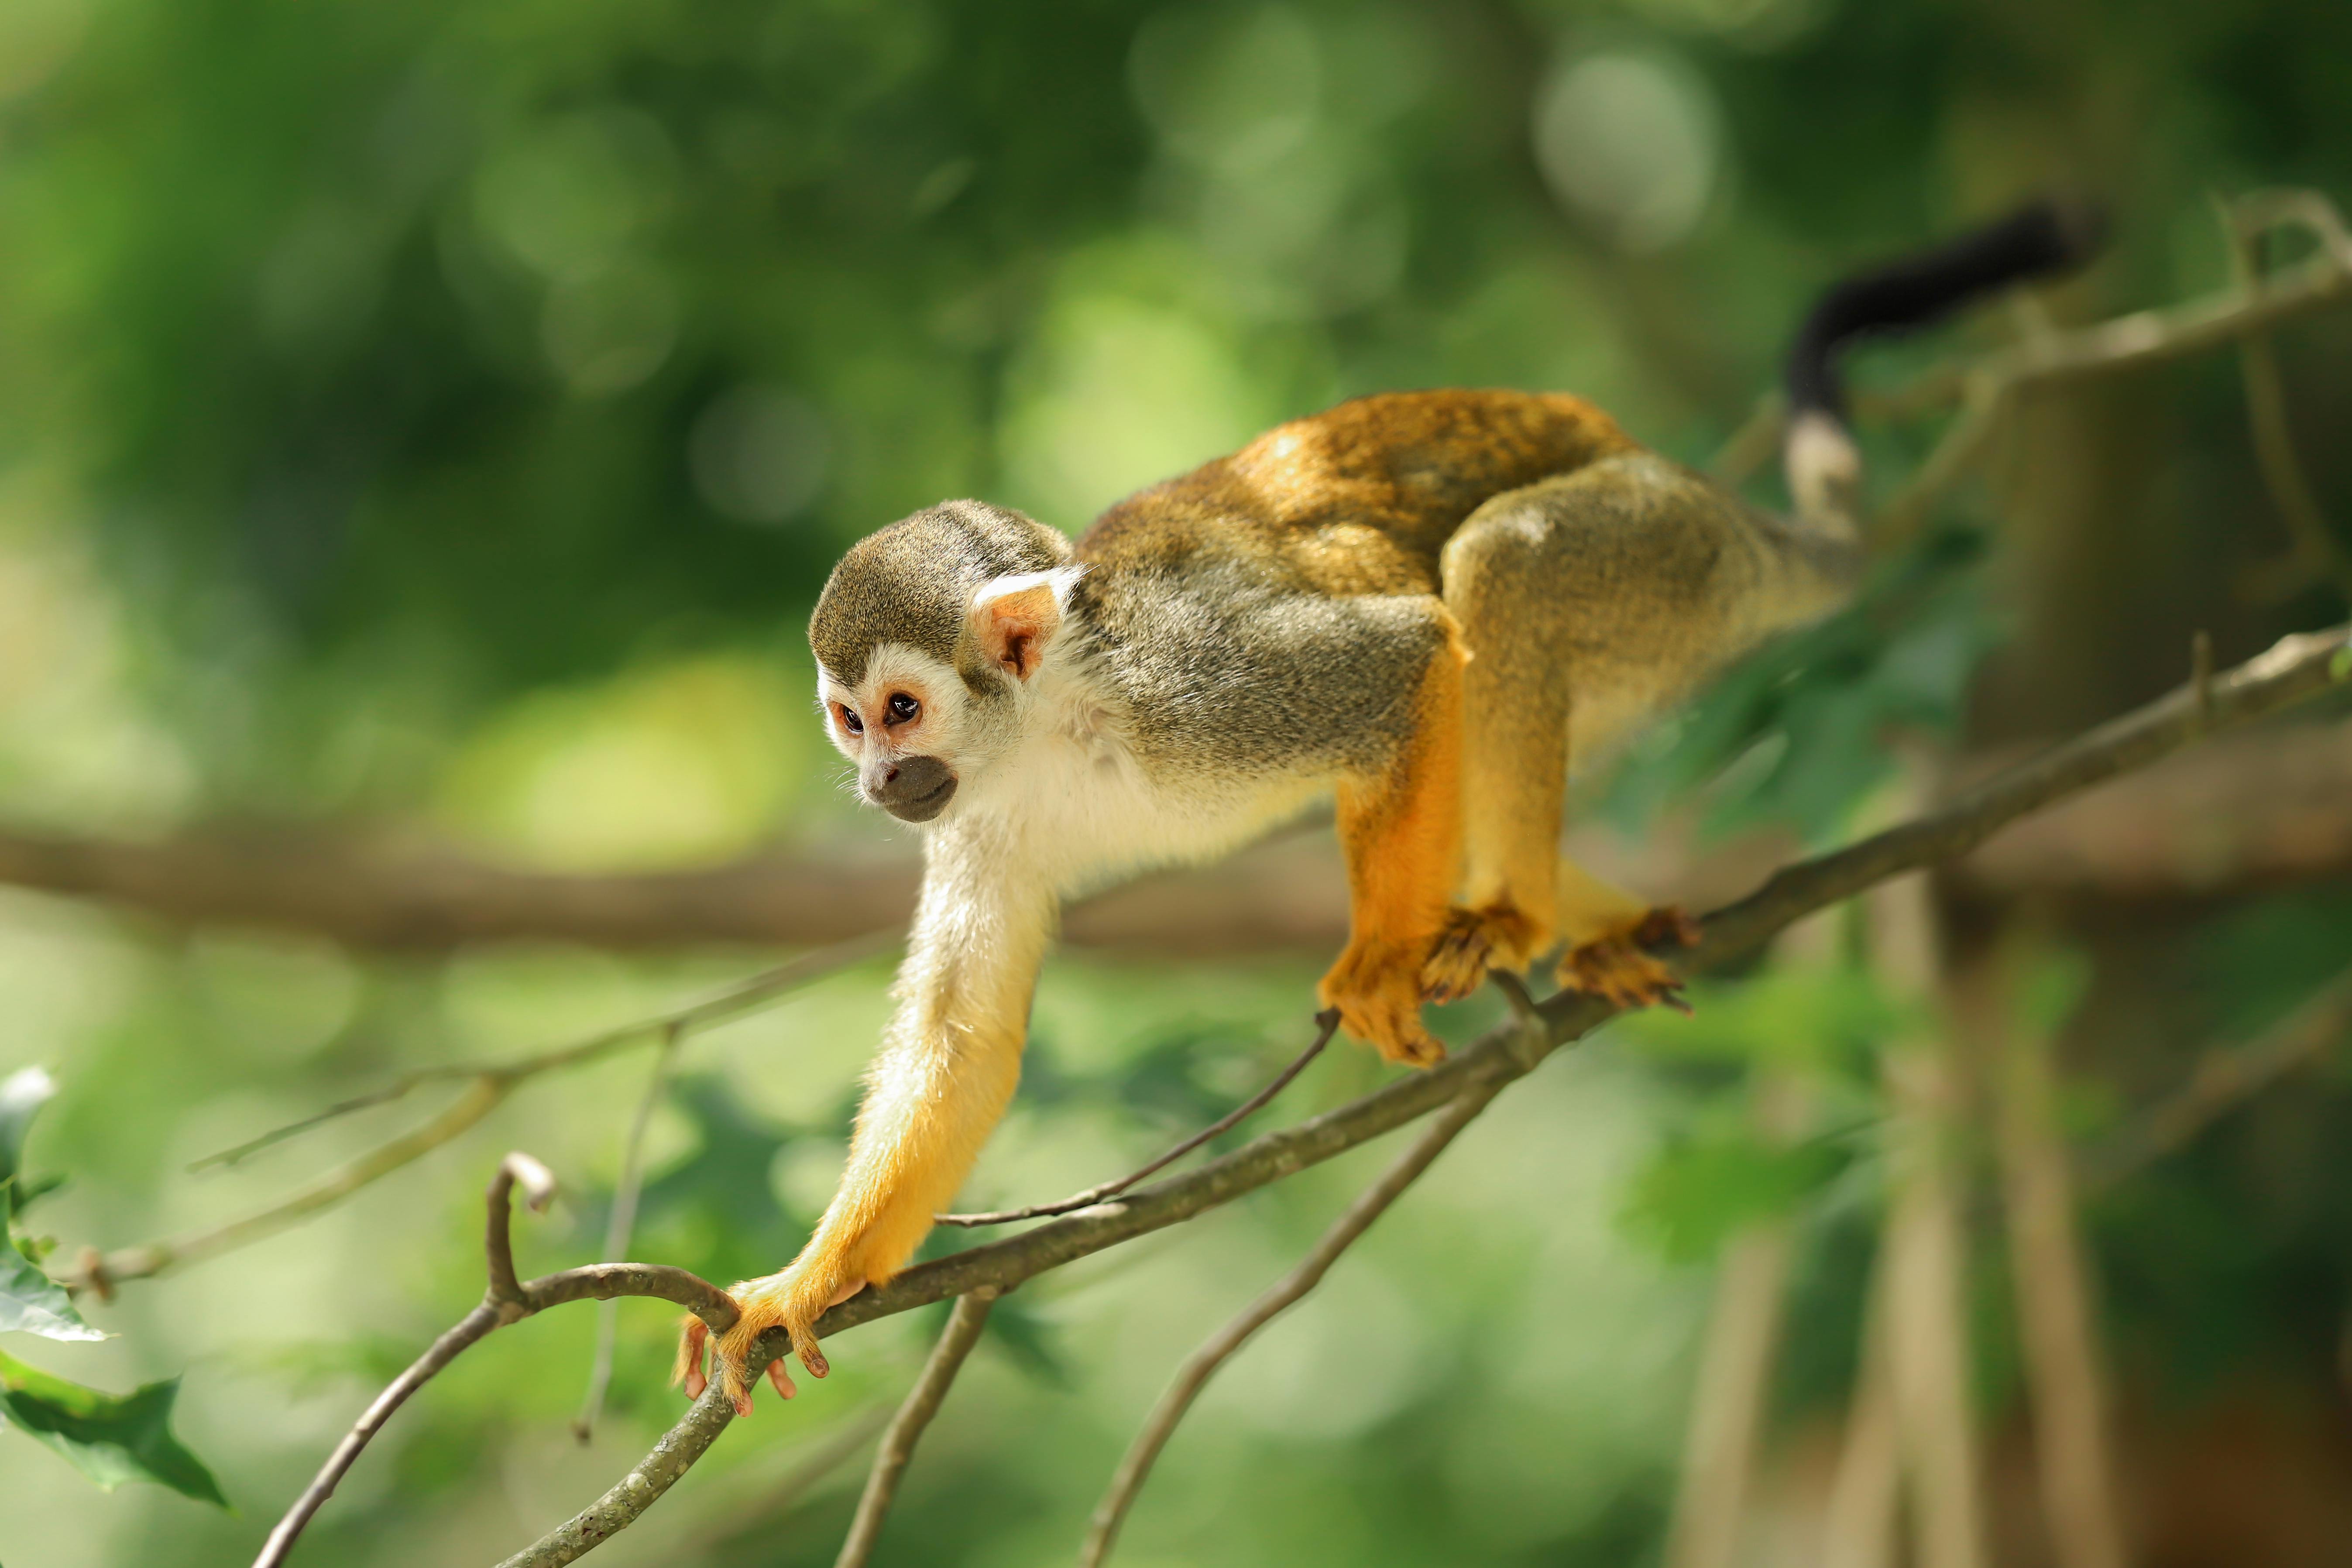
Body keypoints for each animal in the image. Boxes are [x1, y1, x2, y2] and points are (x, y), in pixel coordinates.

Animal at [677, 200, 2103, 1413]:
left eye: (901, 708)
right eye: (847, 720)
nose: (878, 780)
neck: (1049, 727)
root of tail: (1698, 494)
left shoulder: (1189, 691)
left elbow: (1407, 658)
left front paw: (1373, 960)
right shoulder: (978, 815)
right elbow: (967, 1040)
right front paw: (802, 1282)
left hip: (1663, 564)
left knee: (1500, 574)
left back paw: (1511, 911)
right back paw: (1597, 920)